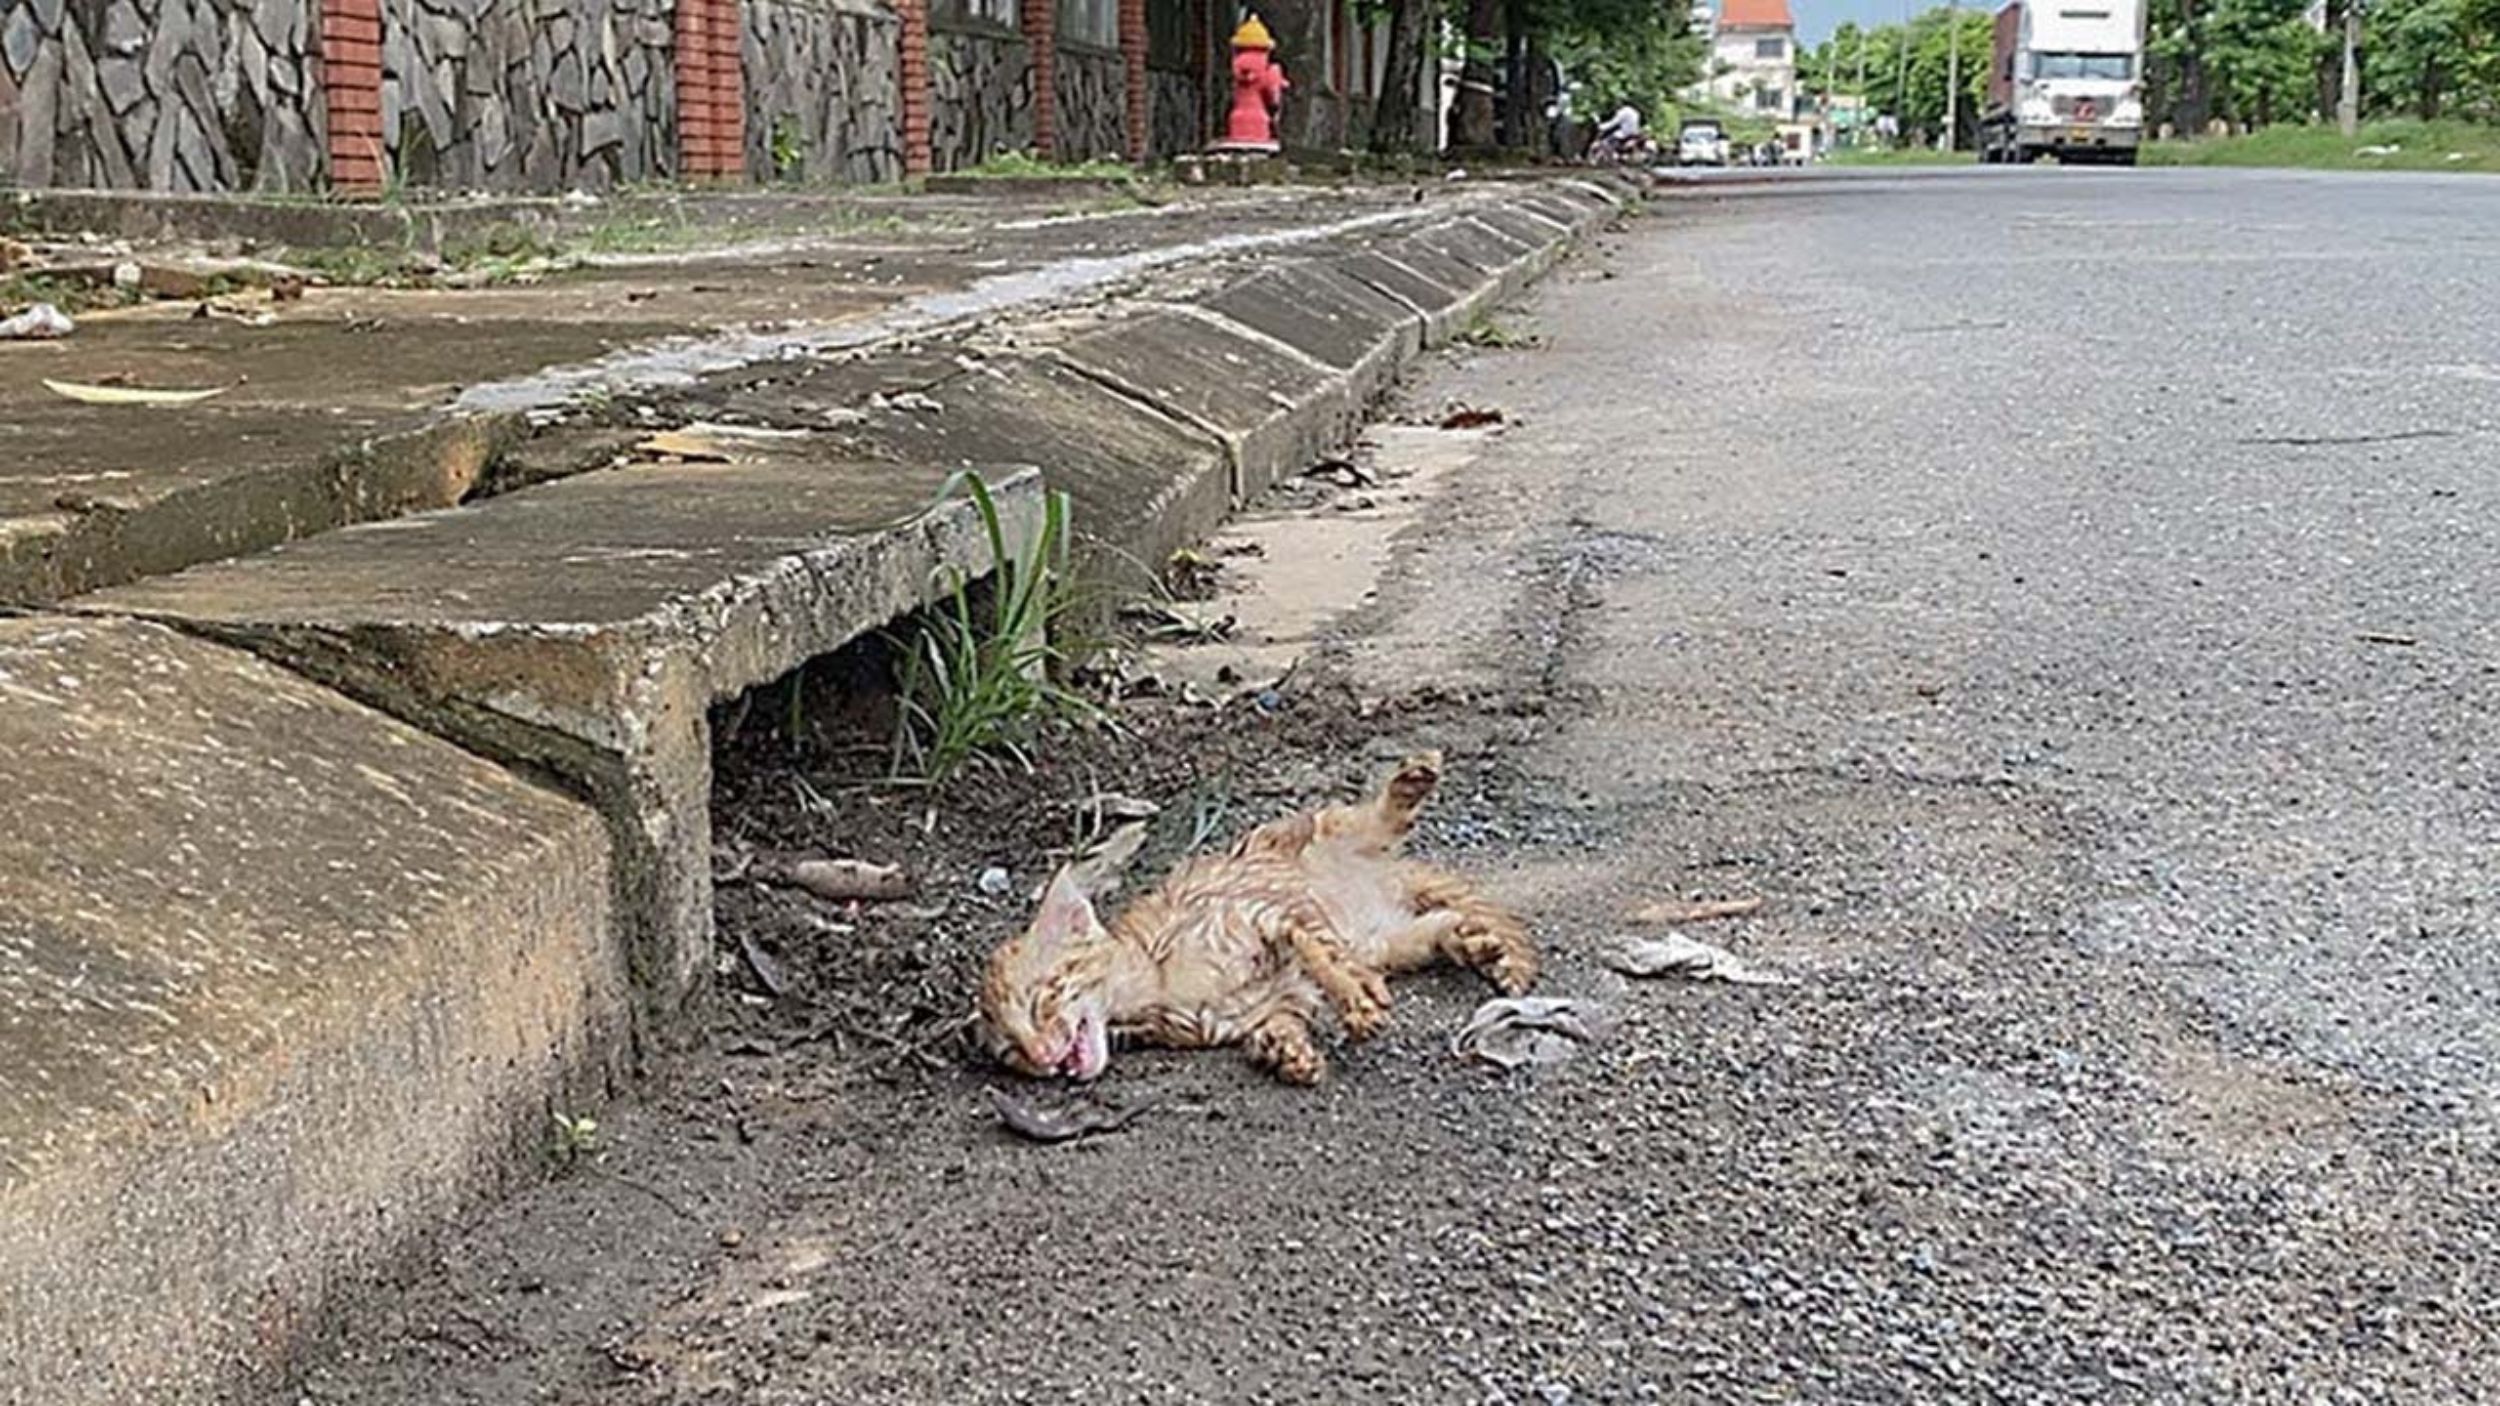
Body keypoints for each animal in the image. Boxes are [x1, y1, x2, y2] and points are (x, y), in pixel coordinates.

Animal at [980, 745, 1540, 1085]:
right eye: (1011, 1051)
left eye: (1042, 1000)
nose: (1043, 1057)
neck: (1155, 987)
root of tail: (1387, 877)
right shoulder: (1270, 1004)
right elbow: (1278, 1023)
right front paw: (1287, 1053)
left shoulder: (1268, 914)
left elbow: (1319, 950)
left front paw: (1353, 996)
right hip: (1391, 940)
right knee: (1440, 925)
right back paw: (1482, 945)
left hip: (1336, 829)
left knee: (1380, 816)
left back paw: (1411, 782)